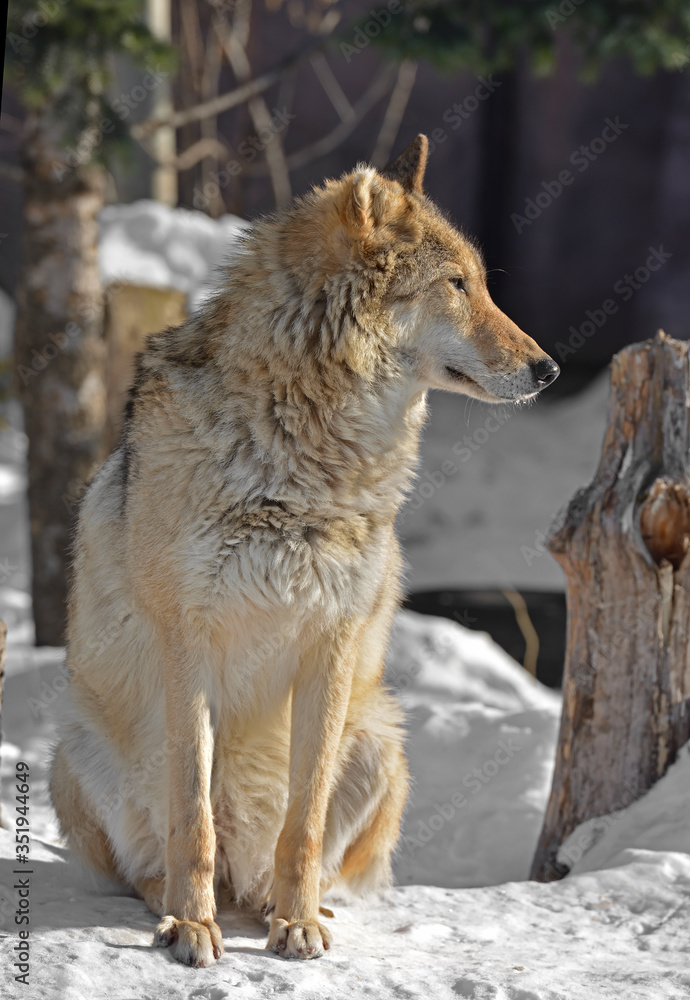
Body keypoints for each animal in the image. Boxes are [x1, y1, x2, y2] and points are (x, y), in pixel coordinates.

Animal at [50, 135, 559, 968]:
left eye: (483, 284)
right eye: (457, 284)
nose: (549, 369)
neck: (302, 460)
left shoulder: (333, 643)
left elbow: (305, 821)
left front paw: (296, 926)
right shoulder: (188, 644)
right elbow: (192, 819)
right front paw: (191, 928)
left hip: (380, 737)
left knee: (295, 860)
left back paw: (290, 906)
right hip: (78, 749)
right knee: (157, 860)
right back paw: (179, 907)